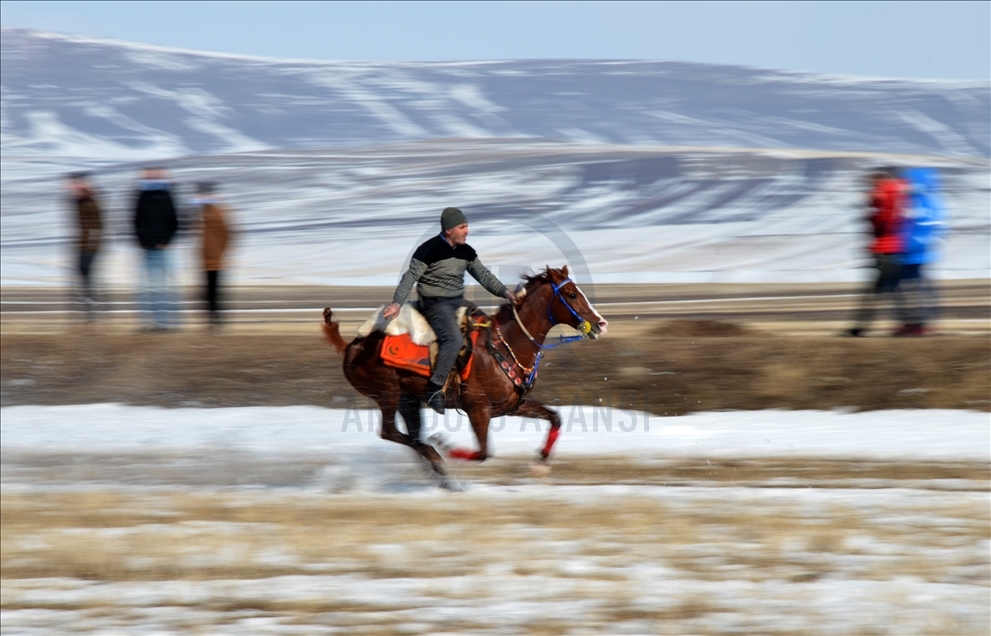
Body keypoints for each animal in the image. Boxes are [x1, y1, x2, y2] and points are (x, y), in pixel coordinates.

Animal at [322, 264, 608, 476]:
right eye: (571, 294)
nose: (601, 324)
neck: (505, 345)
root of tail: (353, 345)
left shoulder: (513, 406)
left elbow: (555, 418)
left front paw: (540, 462)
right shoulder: (477, 409)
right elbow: (483, 453)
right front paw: (446, 446)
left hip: (408, 398)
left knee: (410, 435)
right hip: (387, 393)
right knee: (390, 432)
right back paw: (436, 456)